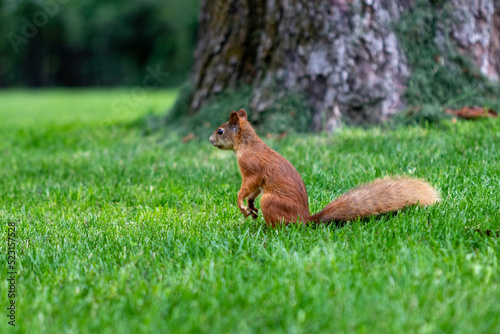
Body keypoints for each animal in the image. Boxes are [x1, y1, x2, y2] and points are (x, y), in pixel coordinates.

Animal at [209, 109, 440, 227]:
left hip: (271, 201)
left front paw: (241, 203)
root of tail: (305, 219)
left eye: (220, 131)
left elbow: (247, 185)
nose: (210, 140)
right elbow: (253, 191)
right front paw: (250, 205)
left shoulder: (251, 168)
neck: (247, 143)